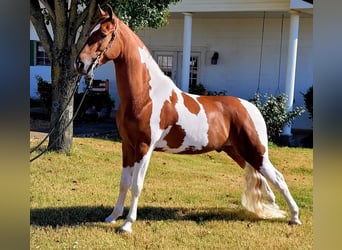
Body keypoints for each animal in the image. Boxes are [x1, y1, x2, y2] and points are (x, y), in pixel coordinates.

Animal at [75, 5, 302, 232]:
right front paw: (113, 217)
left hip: (256, 152)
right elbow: (124, 182)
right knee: (264, 182)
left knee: (279, 178)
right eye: (89, 32)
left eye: (103, 34)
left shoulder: (143, 147)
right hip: (239, 153)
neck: (144, 96)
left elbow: (136, 185)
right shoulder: (127, 146)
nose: (80, 63)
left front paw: (127, 224)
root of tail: (252, 108)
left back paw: (294, 217)